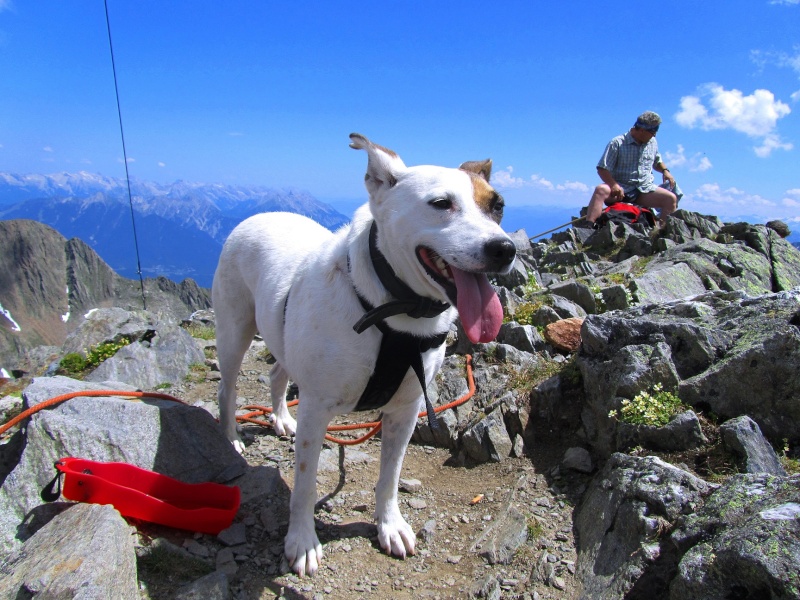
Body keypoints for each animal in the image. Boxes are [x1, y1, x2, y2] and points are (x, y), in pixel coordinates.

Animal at [209, 134, 516, 576]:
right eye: (441, 203)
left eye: (498, 206)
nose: (504, 248)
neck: (395, 310)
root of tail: (257, 215)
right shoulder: (316, 408)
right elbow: (305, 484)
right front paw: (302, 541)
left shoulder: (406, 409)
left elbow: (390, 475)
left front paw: (390, 525)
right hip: (234, 333)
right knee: (227, 390)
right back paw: (232, 439)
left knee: (277, 375)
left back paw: (281, 419)